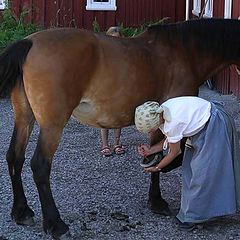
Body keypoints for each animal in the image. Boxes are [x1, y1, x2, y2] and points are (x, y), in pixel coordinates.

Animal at [0, 18, 240, 238]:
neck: (184, 52)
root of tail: (30, 42)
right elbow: (159, 158)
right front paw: (157, 201)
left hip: (25, 118)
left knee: (15, 157)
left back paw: (21, 212)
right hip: (52, 124)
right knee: (40, 165)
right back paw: (56, 224)